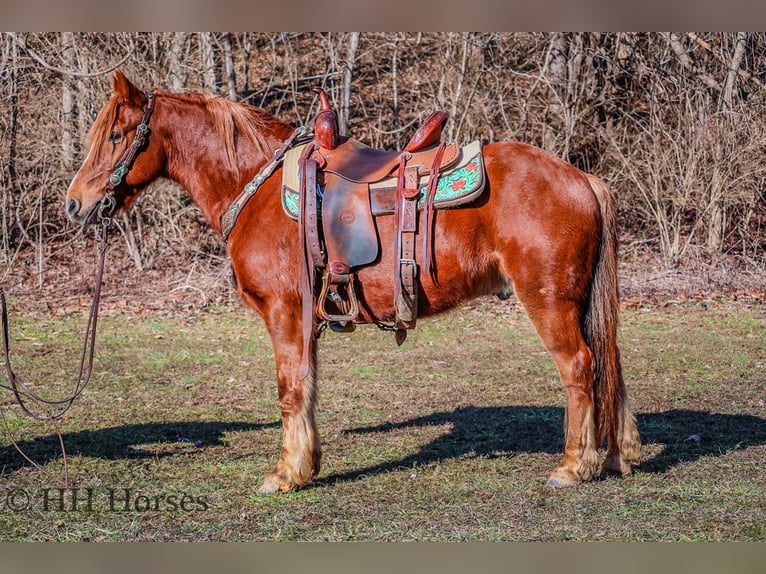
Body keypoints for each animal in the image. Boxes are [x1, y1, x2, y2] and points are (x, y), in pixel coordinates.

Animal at [66, 71, 640, 496]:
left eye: (115, 136)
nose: (75, 203)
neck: (255, 184)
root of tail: (581, 178)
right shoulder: (307, 320)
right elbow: (308, 386)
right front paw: (307, 463)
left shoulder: (284, 313)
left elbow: (290, 388)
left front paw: (286, 473)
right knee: (606, 364)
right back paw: (613, 454)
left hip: (550, 302)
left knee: (579, 367)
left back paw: (574, 465)